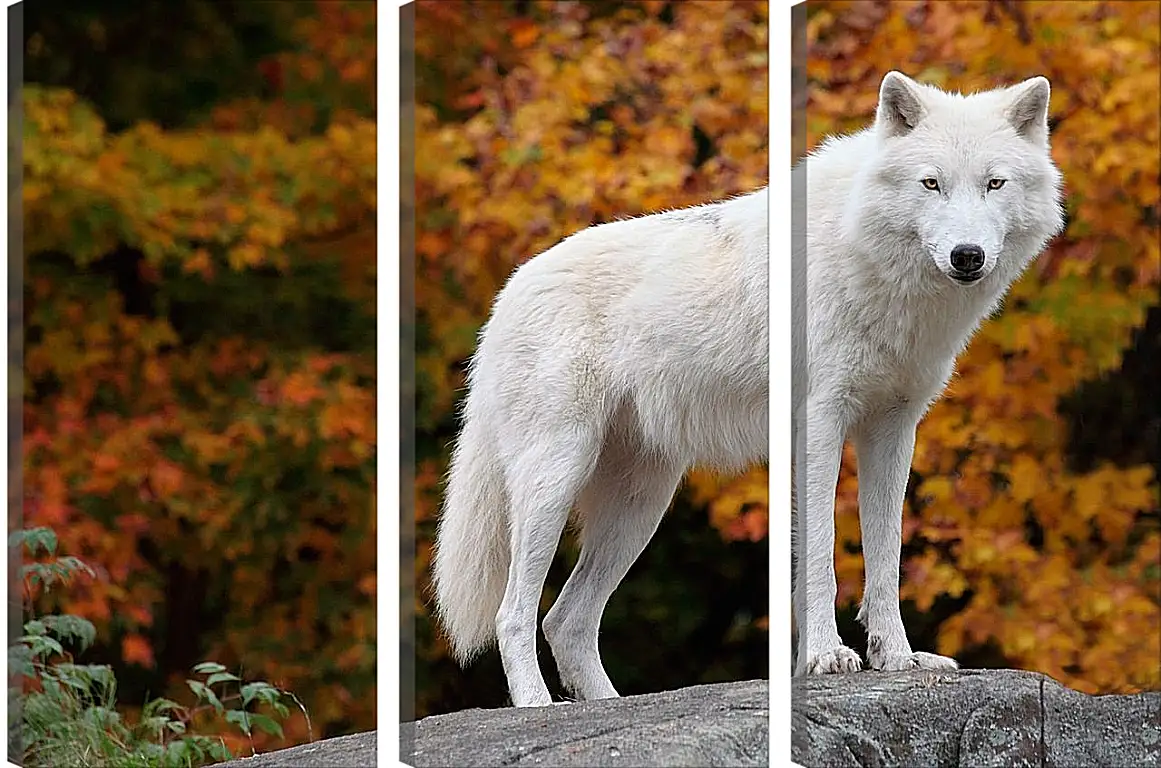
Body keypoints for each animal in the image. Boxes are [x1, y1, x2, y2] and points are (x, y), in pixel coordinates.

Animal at [431, 184, 766, 701]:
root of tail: (505, 296)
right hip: (555, 481)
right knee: (514, 616)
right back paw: (536, 705)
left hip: (639, 507)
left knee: (564, 621)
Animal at [794, 70, 1063, 669]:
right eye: (931, 184)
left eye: (994, 184)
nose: (967, 255)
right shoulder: (820, 420)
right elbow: (821, 550)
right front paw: (825, 654)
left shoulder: (893, 427)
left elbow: (886, 551)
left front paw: (896, 656)